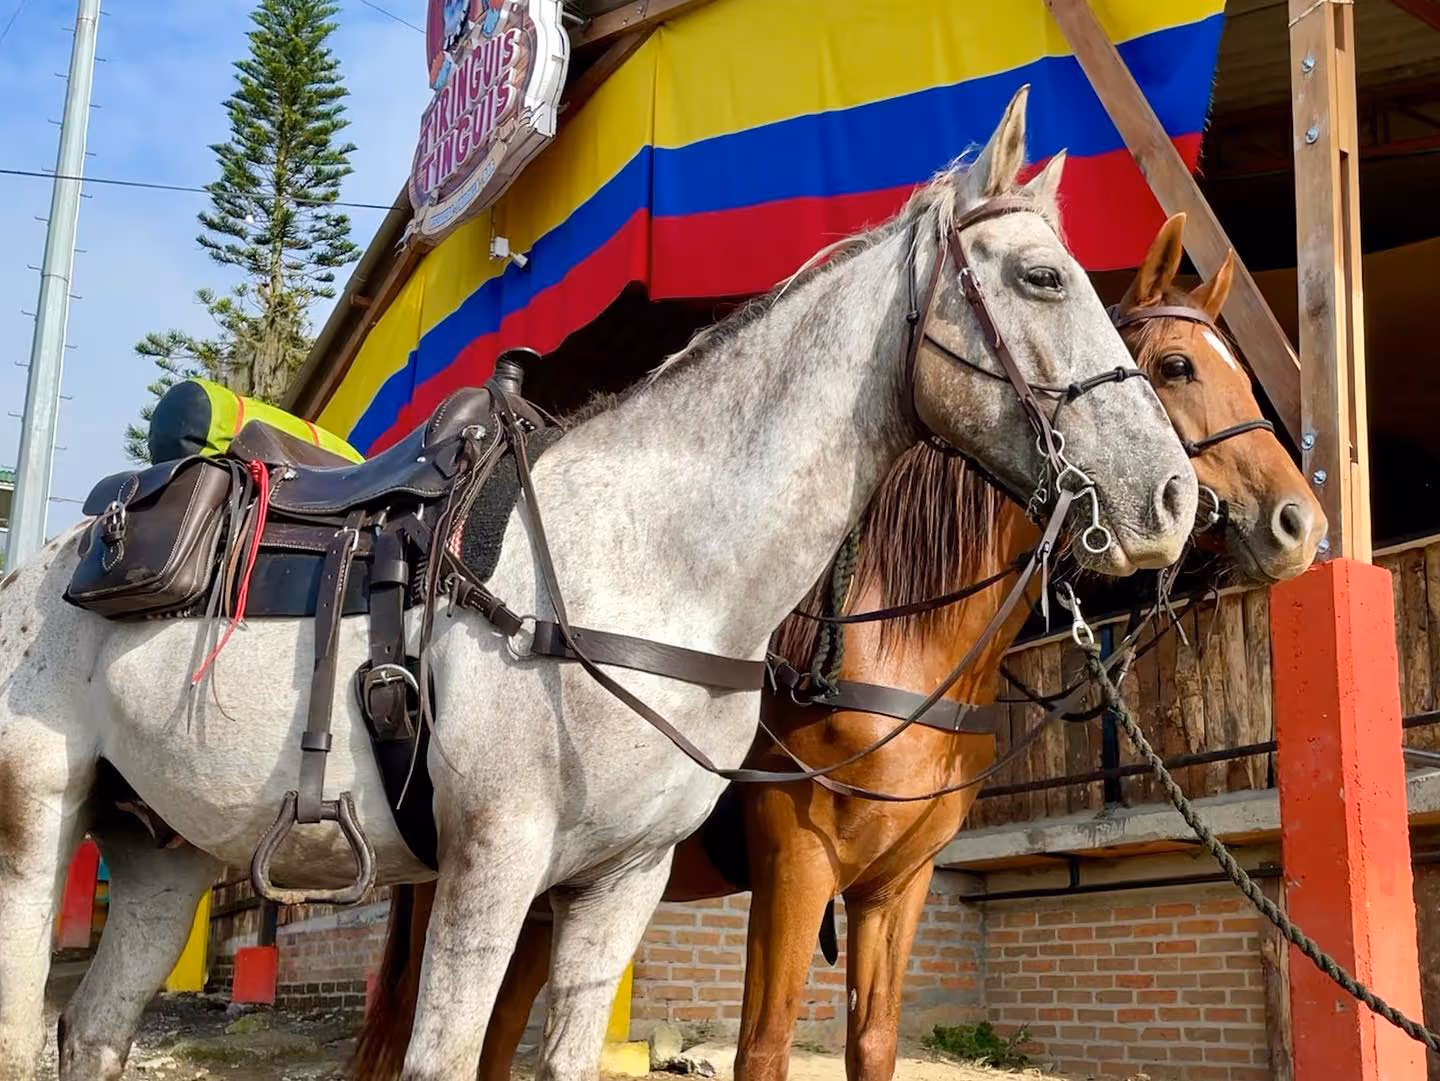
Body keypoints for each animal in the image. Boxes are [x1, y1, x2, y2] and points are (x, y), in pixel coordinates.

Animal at [0, 87, 1199, 1081]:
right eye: (1042, 277)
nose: (1176, 499)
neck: (650, 571)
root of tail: (53, 558)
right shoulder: (497, 863)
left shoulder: (625, 877)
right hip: (38, 820)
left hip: (163, 848)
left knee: (94, 1030)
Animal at [356, 211, 1324, 1081]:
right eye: (1177, 367)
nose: (1300, 522)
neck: (897, 637)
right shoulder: (795, 862)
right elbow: (764, 1047)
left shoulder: (900, 883)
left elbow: (873, 1043)